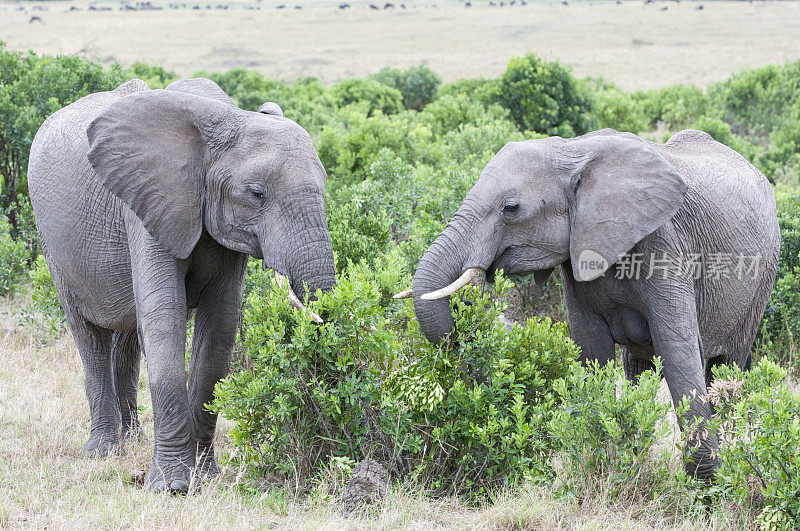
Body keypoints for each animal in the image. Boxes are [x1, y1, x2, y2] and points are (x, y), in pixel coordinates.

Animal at [28, 77, 334, 492]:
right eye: (256, 194)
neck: (225, 119)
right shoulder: (147, 205)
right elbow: (164, 318)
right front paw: (171, 486)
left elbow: (219, 327)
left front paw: (206, 476)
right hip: (54, 247)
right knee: (89, 336)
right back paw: (105, 451)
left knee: (128, 338)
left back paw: (133, 440)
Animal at [410, 130, 780, 482]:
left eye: (511, 208)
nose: (467, 304)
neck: (572, 150)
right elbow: (591, 350)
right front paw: (603, 460)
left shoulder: (663, 244)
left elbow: (677, 350)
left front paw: (706, 485)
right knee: (639, 367)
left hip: (761, 281)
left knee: (726, 366)